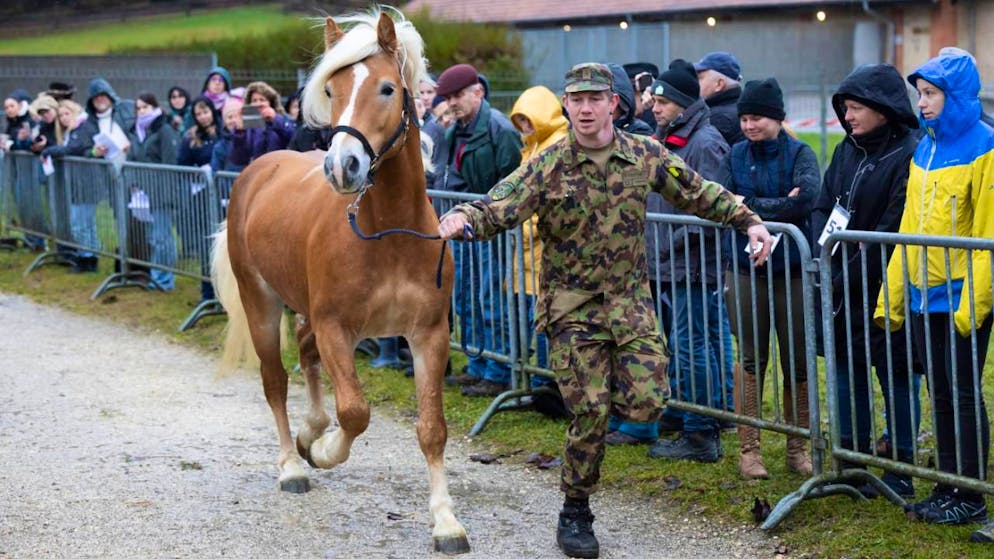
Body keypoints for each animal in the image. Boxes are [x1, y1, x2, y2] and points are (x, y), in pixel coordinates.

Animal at [210, 8, 467, 554]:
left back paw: (309, 432)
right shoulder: (337, 329)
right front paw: (326, 451)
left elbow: (432, 428)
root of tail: (258, 168)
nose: (341, 165)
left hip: (303, 310)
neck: (388, 233)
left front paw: (445, 520)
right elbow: (354, 411)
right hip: (261, 303)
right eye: (332, 88)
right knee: (275, 380)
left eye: (388, 88)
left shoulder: (429, 334)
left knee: (305, 355)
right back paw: (292, 463)